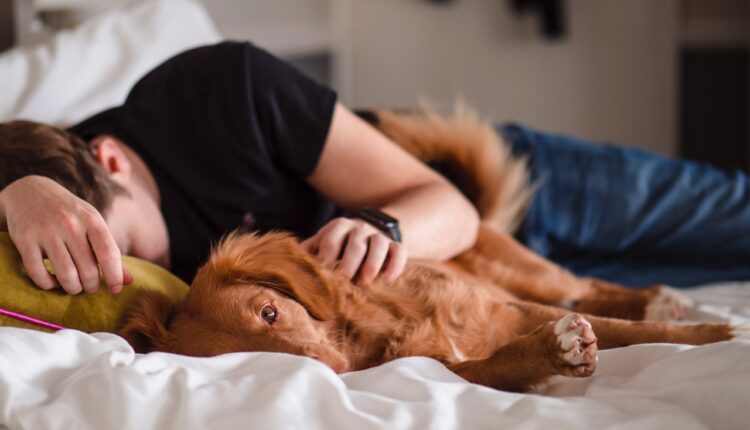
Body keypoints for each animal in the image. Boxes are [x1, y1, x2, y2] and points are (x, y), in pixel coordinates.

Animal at [117, 107, 748, 394]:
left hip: (530, 273)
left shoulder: (509, 306)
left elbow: (639, 333)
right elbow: (500, 361)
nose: (331, 371)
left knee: (588, 286)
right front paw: (553, 353)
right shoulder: (449, 366)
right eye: (250, 360)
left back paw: (659, 298)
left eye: (270, 312)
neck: (377, 328)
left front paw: (721, 333)